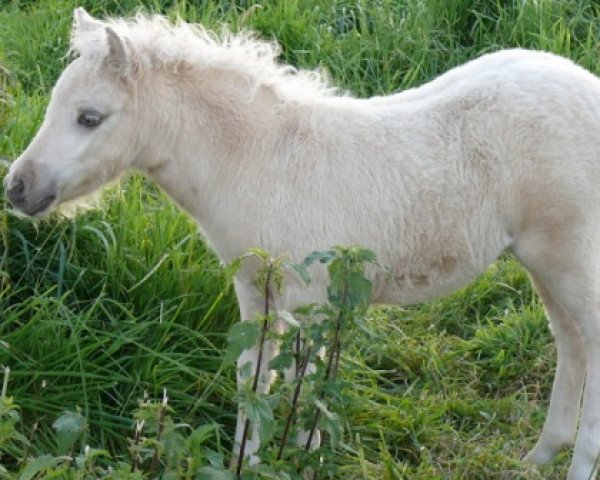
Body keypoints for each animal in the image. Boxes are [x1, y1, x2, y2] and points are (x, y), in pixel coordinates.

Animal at [3, 7, 600, 476]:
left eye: (89, 117)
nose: (17, 187)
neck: (260, 159)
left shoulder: (309, 301)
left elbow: (303, 397)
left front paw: (296, 463)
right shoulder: (255, 294)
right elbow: (254, 382)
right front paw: (246, 462)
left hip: (570, 258)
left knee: (586, 341)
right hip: (543, 262)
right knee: (570, 343)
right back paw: (540, 455)